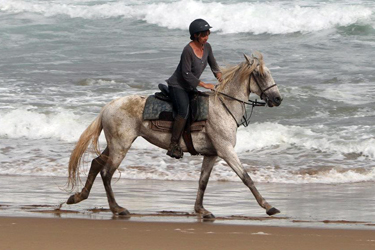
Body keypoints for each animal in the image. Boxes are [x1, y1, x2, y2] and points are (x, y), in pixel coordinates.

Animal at [67, 53, 284, 218]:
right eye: (260, 74)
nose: (278, 99)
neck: (224, 107)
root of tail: (107, 107)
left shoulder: (211, 154)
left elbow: (203, 182)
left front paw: (201, 210)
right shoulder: (226, 151)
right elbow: (246, 178)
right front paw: (268, 206)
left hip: (115, 145)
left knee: (96, 163)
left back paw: (78, 197)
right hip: (121, 147)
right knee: (106, 173)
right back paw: (117, 208)